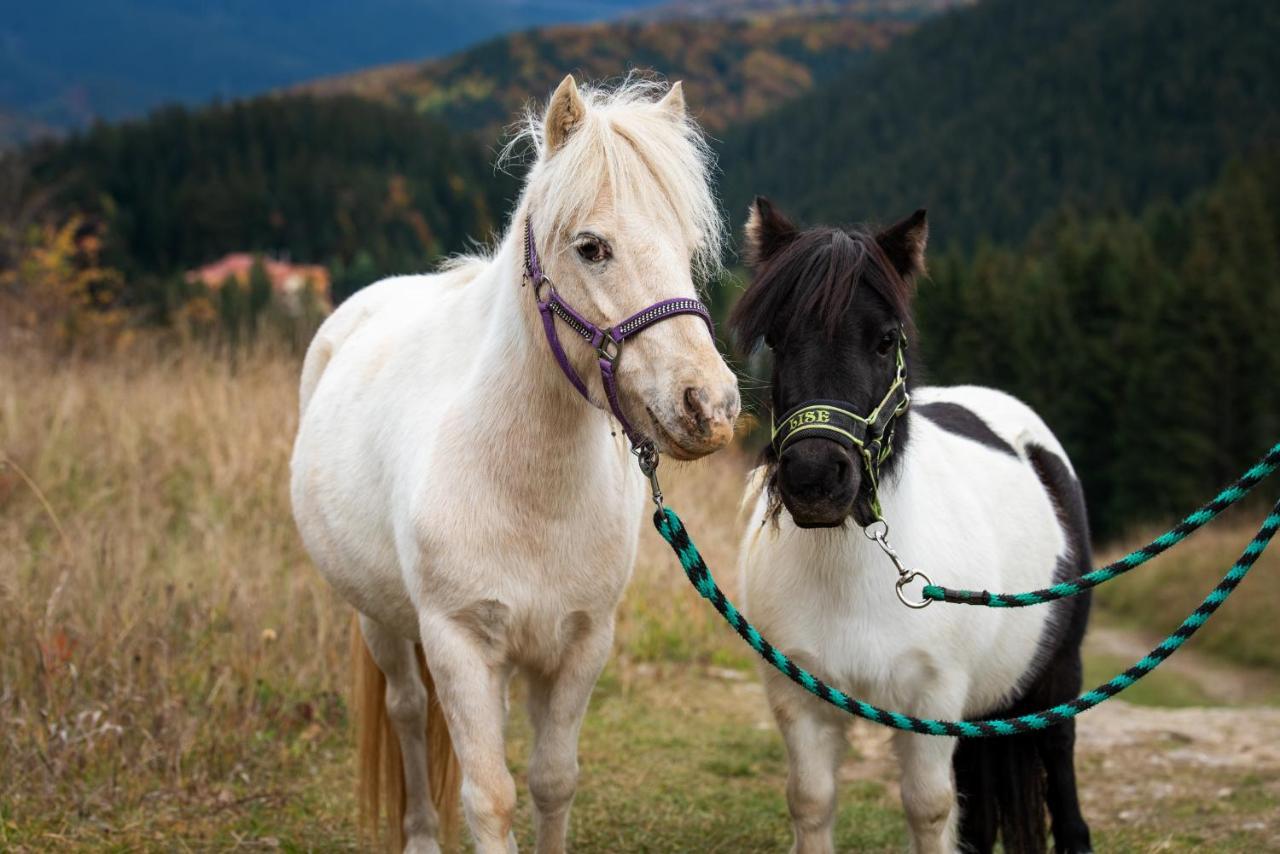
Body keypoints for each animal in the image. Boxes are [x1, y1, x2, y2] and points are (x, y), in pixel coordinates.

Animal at [285, 76, 737, 850]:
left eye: (686, 247)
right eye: (591, 246)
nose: (709, 404)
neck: (526, 487)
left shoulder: (580, 642)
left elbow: (553, 781)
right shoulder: (460, 644)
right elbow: (489, 797)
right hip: (379, 619)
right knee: (407, 711)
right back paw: (420, 835)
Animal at [732, 198, 1090, 854]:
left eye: (885, 340)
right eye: (777, 338)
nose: (815, 477)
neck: (852, 575)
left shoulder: (932, 699)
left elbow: (928, 808)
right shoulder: (799, 701)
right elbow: (811, 802)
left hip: (1058, 673)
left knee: (1058, 752)